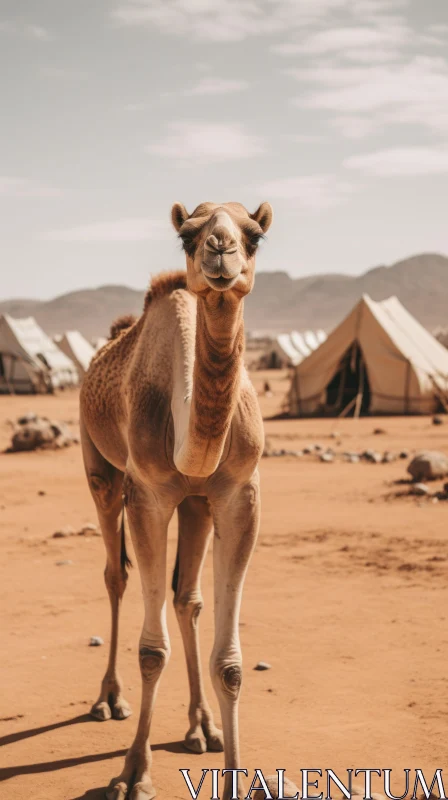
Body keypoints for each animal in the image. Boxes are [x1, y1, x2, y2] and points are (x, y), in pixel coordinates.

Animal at [80, 200, 272, 800]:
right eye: (187, 236)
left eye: (255, 236)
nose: (220, 248)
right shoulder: (148, 495)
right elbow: (151, 650)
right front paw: (132, 774)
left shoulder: (237, 495)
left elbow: (229, 661)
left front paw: (234, 773)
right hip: (101, 470)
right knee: (115, 575)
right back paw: (108, 700)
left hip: (196, 504)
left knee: (187, 598)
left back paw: (201, 727)